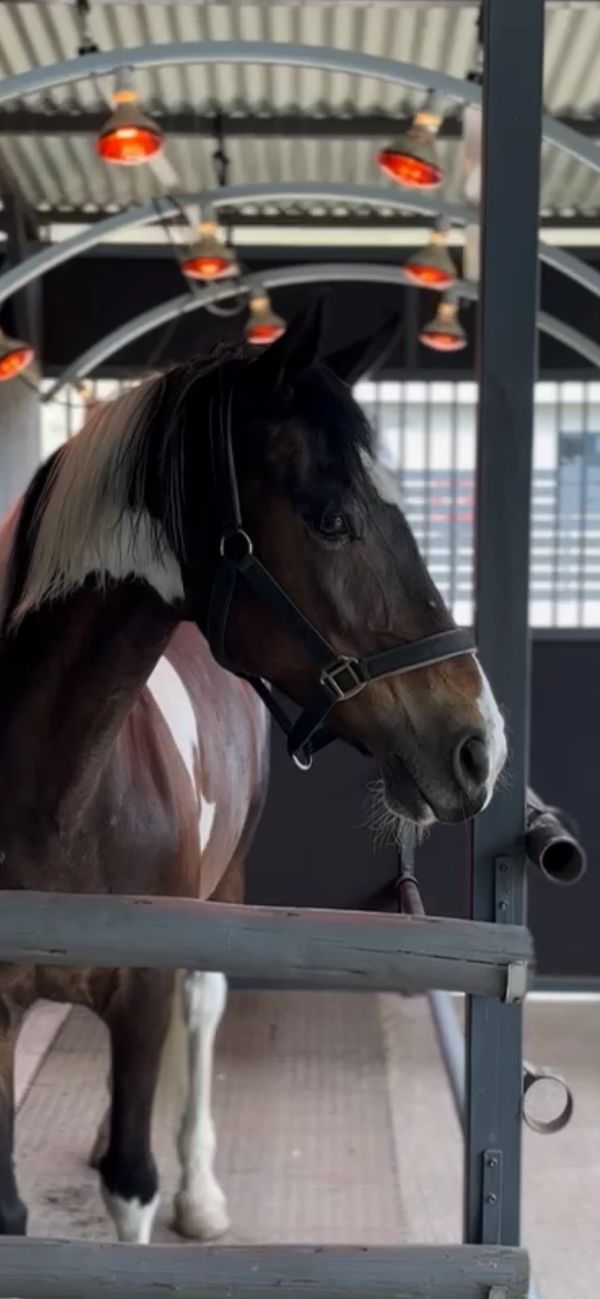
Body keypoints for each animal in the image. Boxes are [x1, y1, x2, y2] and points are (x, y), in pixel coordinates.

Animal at [0, 302, 506, 1245]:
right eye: (330, 517)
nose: (480, 746)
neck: (56, 795)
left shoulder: (144, 989)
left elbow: (133, 1185)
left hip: (222, 892)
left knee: (202, 1011)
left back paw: (201, 1193)